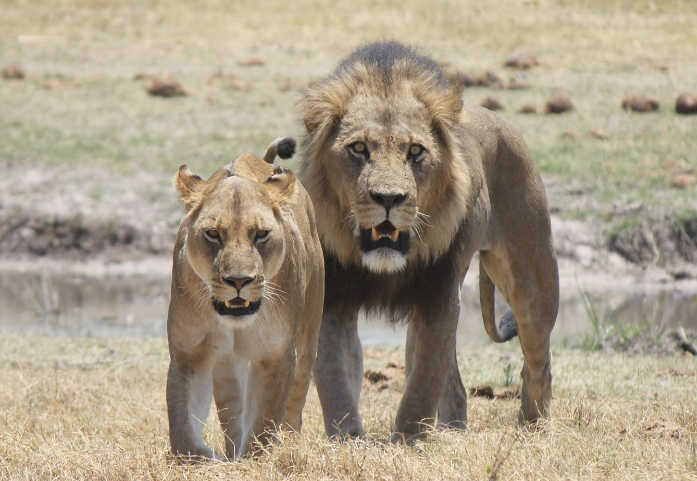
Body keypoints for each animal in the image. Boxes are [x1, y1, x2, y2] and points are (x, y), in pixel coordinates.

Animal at [166, 138, 324, 458]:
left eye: (261, 234)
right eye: (213, 233)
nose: (239, 281)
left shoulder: (276, 354)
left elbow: (264, 421)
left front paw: (255, 459)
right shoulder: (189, 354)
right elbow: (182, 432)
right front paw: (210, 459)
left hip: (308, 338)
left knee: (295, 404)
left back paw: (289, 446)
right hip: (228, 363)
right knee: (233, 411)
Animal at [300, 39, 560, 440]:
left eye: (415, 151)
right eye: (358, 148)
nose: (388, 198)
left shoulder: (439, 295)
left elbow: (422, 383)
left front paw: (407, 440)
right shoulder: (335, 298)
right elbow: (335, 379)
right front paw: (348, 439)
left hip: (533, 281)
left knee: (538, 364)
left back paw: (532, 429)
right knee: (455, 386)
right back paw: (454, 432)